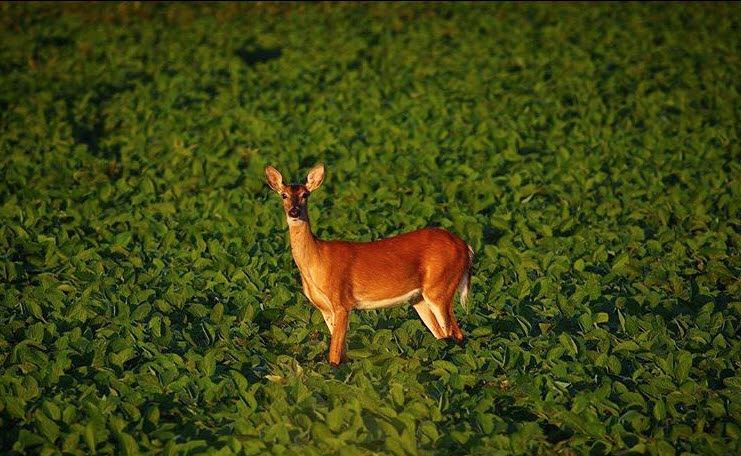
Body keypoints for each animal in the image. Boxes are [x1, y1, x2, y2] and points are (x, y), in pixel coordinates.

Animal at [265, 164, 473, 366]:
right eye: (284, 195)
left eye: (305, 195)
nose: (294, 212)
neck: (317, 260)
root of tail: (466, 247)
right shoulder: (325, 309)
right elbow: (341, 353)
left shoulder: (342, 303)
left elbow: (334, 356)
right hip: (420, 298)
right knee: (441, 335)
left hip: (440, 288)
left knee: (456, 334)